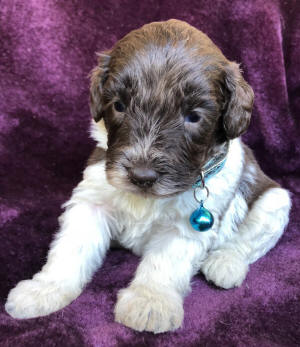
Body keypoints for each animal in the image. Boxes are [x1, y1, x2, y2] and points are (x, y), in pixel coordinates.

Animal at [4, 19, 290, 334]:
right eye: (119, 105)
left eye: (193, 117)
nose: (142, 176)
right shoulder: (91, 201)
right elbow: (70, 249)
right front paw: (45, 290)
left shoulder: (188, 223)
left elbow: (164, 262)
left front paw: (150, 301)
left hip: (275, 201)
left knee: (250, 240)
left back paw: (225, 263)